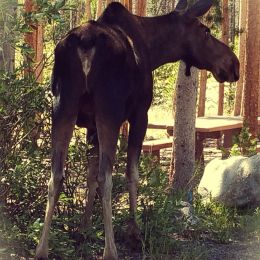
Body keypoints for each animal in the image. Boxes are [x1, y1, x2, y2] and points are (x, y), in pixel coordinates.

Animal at [35, 1, 239, 258]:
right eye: (205, 30)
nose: (234, 64)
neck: (153, 50)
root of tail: (85, 43)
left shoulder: (90, 123)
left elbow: (90, 176)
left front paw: (84, 229)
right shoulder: (140, 115)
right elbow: (131, 173)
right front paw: (134, 232)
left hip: (62, 106)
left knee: (56, 175)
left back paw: (42, 249)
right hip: (108, 110)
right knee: (106, 176)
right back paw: (110, 250)